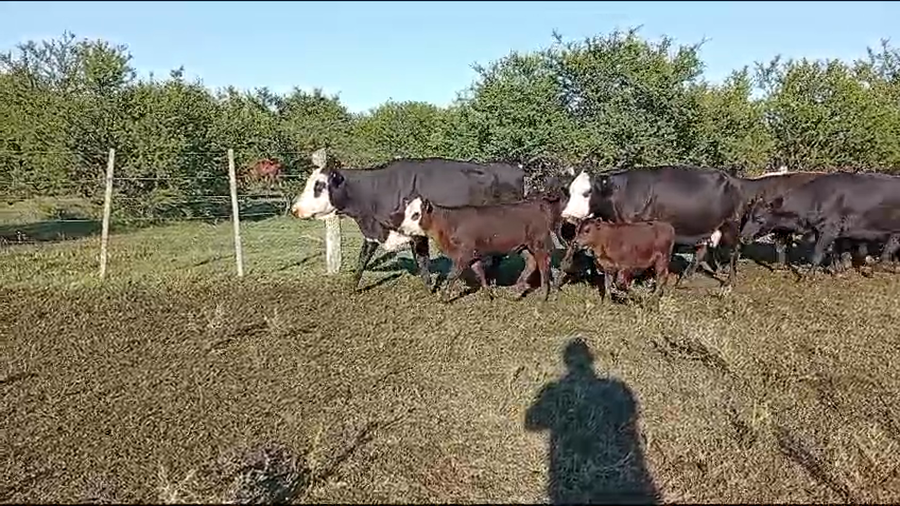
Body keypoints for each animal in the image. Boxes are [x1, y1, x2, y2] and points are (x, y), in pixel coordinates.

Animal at [290, 157, 525, 291]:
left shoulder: (416, 234)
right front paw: (350, 289)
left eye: (319, 186)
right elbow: (362, 261)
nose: (295, 209)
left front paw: (429, 291)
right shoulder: (373, 232)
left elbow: (422, 263)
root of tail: (514, 168)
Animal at [392, 195, 562, 302]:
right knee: (531, 263)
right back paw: (516, 290)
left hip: (539, 243)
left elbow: (451, 276)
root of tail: (539, 203)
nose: (401, 229)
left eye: (416, 214)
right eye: (406, 213)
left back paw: (543, 296)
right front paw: (489, 295)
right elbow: (480, 274)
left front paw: (443, 298)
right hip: (524, 246)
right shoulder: (472, 255)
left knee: (543, 265)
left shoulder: (463, 254)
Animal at [560, 165, 747, 289]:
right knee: (700, 252)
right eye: (568, 191)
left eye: (587, 192)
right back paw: (684, 280)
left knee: (734, 251)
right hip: (703, 228)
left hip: (731, 224)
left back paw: (729, 283)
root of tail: (732, 179)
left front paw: (641, 279)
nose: (566, 218)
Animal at [739, 171, 900, 277]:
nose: (742, 236)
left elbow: (817, 252)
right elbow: (829, 251)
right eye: (747, 216)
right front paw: (837, 269)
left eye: (759, 219)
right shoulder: (819, 230)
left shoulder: (830, 229)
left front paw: (808, 275)